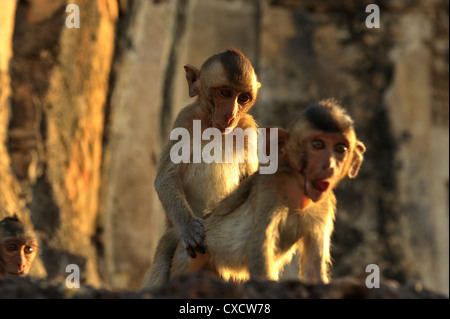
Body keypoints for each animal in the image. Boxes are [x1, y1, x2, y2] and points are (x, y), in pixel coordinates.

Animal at [142, 49, 262, 290]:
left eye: (242, 98)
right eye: (225, 92)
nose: (230, 115)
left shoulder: (248, 128)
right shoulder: (185, 118)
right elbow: (166, 178)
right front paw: (189, 226)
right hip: (173, 234)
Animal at [169, 100, 366, 284]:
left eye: (340, 149)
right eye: (317, 144)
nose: (329, 165)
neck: (299, 192)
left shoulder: (324, 207)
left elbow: (313, 270)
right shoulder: (270, 188)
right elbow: (258, 250)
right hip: (190, 258)